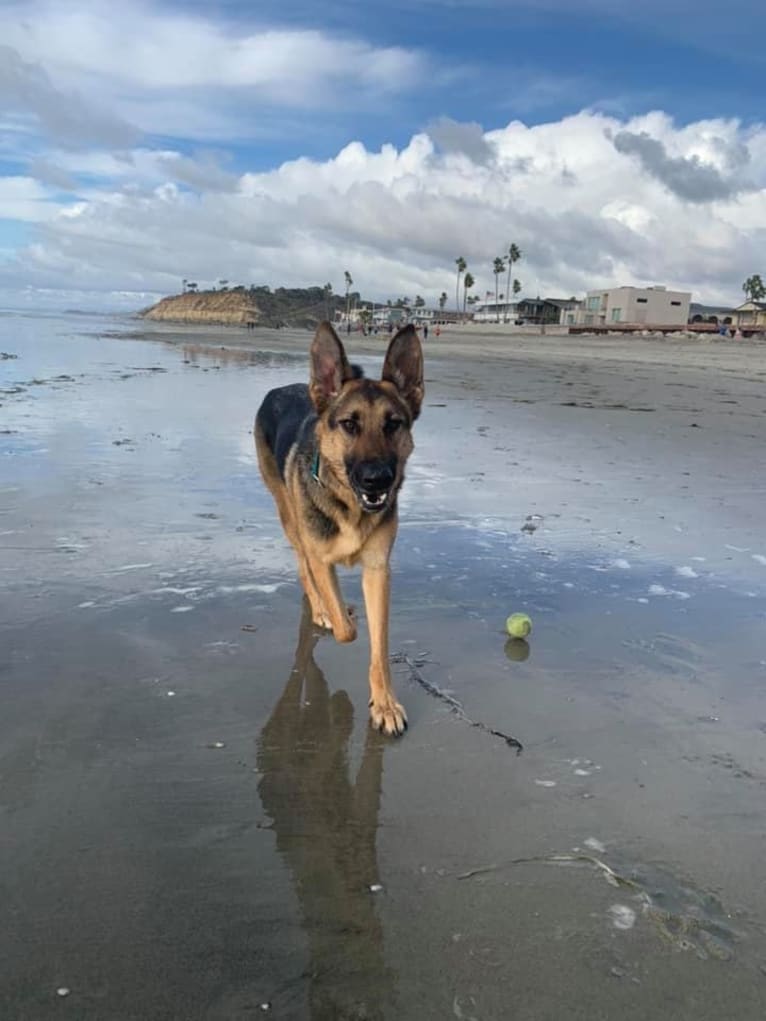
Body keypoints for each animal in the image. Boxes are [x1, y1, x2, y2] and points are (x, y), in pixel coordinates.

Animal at [258, 320, 426, 735]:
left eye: (393, 424)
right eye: (349, 425)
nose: (377, 479)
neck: (350, 506)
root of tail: (281, 389)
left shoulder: (378, 570)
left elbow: (380, 647)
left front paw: (384, 704)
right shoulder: (321, 556)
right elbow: (346, 630)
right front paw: (337, 617)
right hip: (289, 518)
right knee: (303, 567)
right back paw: (320, 609)